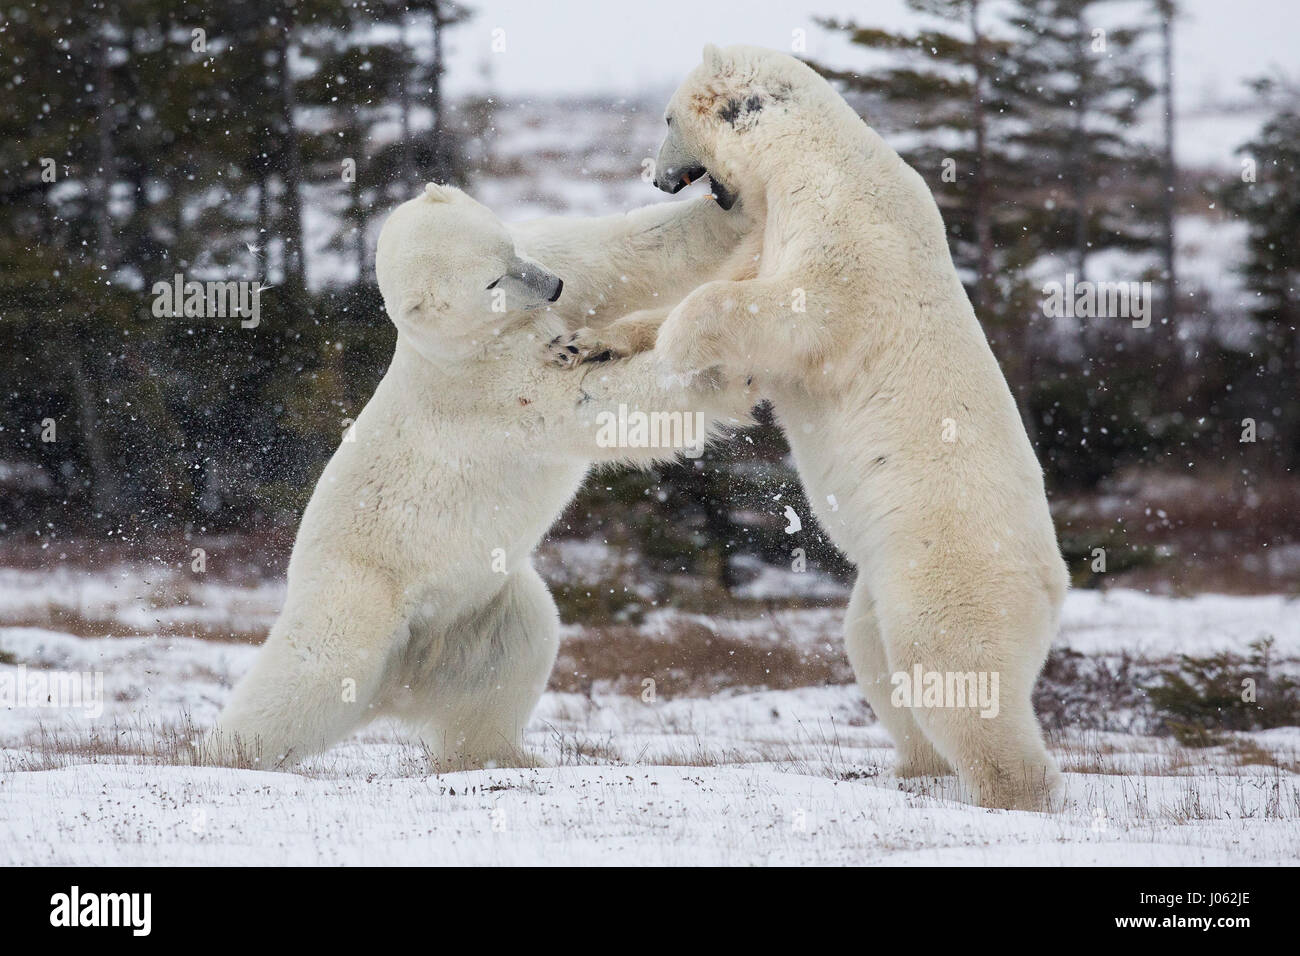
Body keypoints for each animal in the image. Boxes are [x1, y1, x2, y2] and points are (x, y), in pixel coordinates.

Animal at [210, 184, 759, 770]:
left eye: (509, 247)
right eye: (491, 282)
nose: (553, 287)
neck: (472, 341)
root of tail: (398, 683)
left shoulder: (554, 261)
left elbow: (634, 248)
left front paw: (734, 202)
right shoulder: (491, 389)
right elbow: (592, 401)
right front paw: (725, 368)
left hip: (480, 609)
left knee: (518, 651)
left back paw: (504, 756)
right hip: (357, 594)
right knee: (309, 675)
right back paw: (220, 753)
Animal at [577, 42, 1066, 806]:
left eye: (666, 118)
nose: (655, 177)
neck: (805, 156)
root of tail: (1055, 585)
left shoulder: (848, 233)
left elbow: (792, 311)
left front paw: (685, 348)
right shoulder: (775, 222)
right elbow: (737, 283)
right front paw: (594, 340)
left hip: (947, 568)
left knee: (953, 670)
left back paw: (1010, 793)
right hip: (881, 583)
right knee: (876, 656)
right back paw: (912, 770)